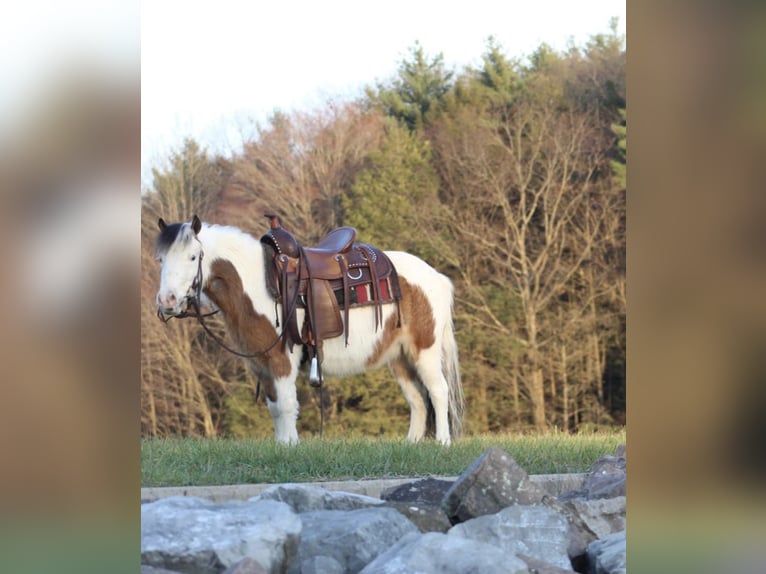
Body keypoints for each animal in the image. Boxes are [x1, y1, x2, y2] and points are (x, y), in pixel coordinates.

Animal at [154, 216, 464, 446]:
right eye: (160, 259)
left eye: (193, 257)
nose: (167, 301)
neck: (259, 284)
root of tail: (437, 277)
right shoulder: (261, 365)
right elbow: (274, 407)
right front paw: (282, 446)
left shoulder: (281, 361)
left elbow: (287, 405)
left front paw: (290, 447)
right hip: (399, 357)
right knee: (417, 399)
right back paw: (412, 444)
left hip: (424, 350)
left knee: (438, 390)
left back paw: (442, 442)